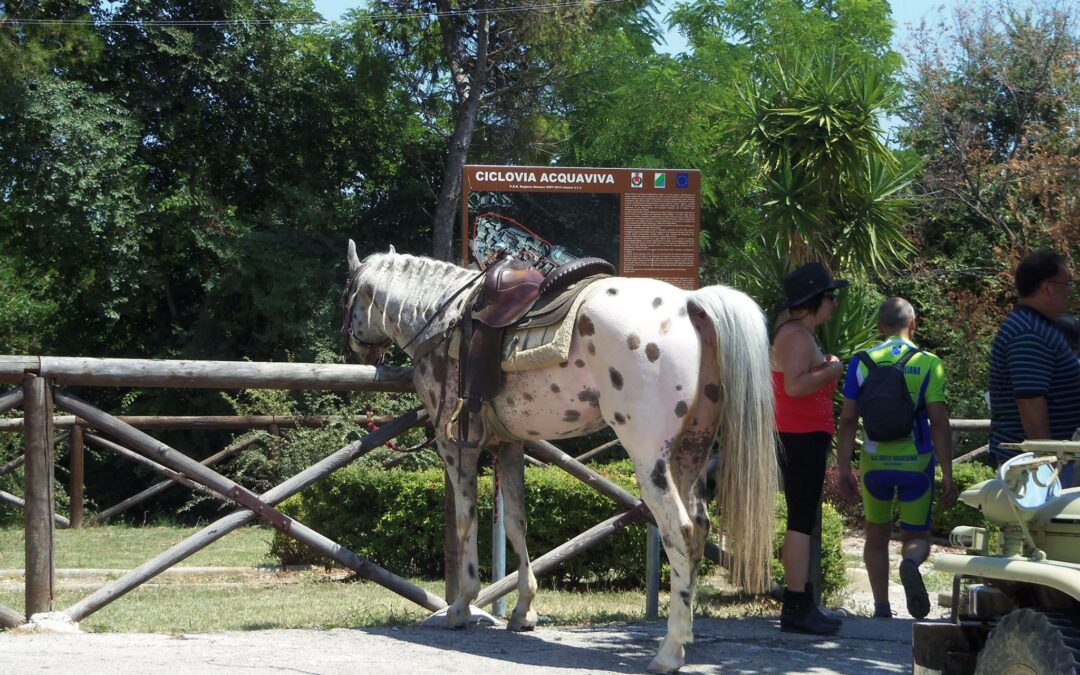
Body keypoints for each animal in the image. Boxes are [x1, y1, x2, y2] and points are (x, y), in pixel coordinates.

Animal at [341, 239, 773, 669]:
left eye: (347, 295)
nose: (355, 352)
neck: (443, 319)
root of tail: (691, 304)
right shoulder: (510, 445)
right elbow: (515, 522)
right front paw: (523, 611)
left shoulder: (457, 446)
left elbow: (465, 521)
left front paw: (461, 607)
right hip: (692, 451)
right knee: (699, 528)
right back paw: (686, 636)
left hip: (649, 457)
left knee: (678, 530)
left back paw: (670, 650)